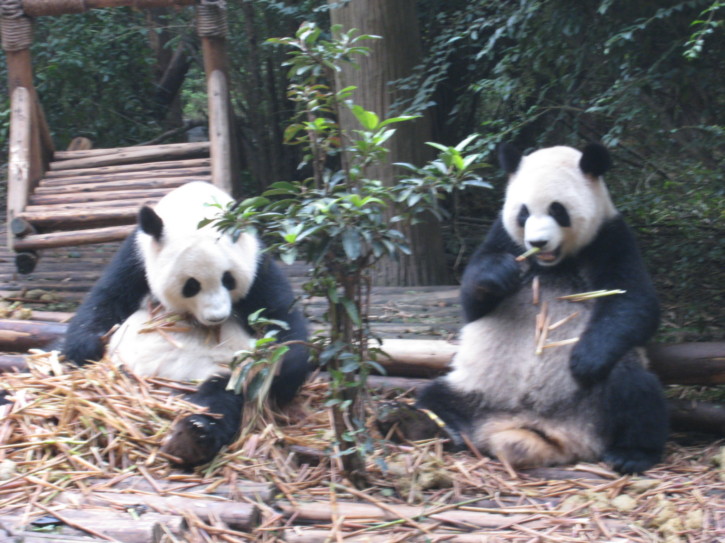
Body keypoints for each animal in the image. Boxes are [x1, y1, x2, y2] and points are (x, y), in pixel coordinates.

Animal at [63, 181, 310, 468]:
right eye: (191, 285)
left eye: (229, 279)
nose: (217, 316)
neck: (194, 206)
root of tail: (165, 389)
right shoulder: (135, 257)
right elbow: (106, 299)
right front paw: (82, 349)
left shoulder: (258, 261)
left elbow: (281, 314)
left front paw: (282, 373)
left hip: (222, 373)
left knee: (218, 401)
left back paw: (193, 435)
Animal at [414, 143, 668, 474]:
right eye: (523, 213)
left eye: (557, 210)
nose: (537, 242)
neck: (553, 263)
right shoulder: (502, 236)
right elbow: (472, 303)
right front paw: (498, 274)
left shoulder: (611, 238)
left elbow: (634, 302)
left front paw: (585, 360)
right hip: (477, 388)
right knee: (433, 396)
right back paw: (438, 426)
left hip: (594, 402)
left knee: (635, 389)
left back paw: (631, 453)